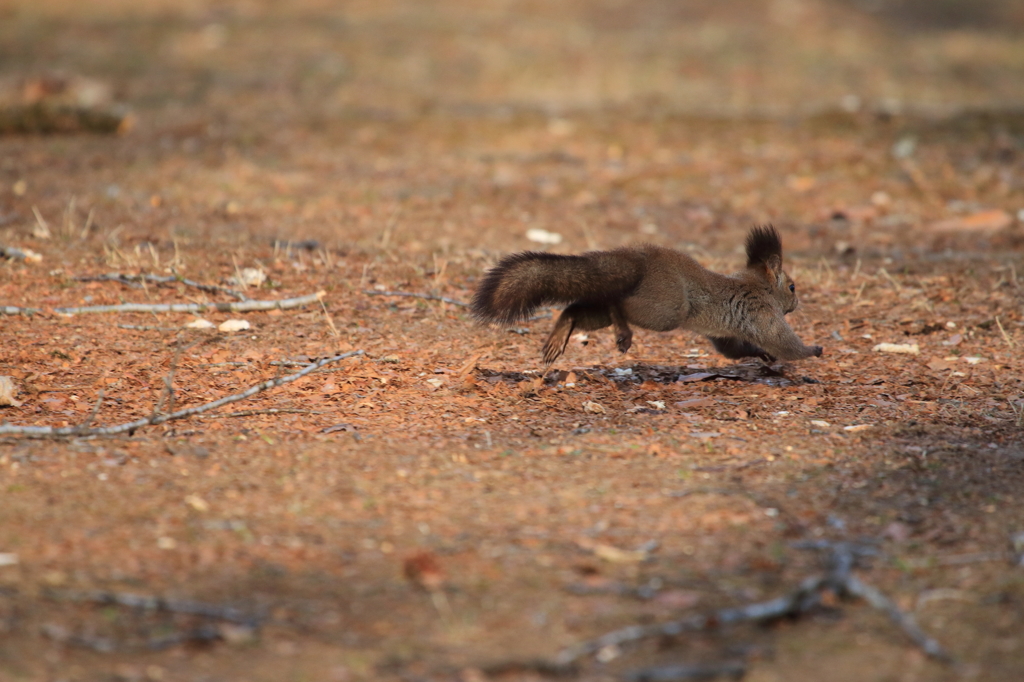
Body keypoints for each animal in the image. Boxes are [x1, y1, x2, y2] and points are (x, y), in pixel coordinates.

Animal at [471, 224, 823, 364]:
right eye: (792, 286)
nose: (797, 302)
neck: (759, 285)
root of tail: (639, 258)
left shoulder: (726, 335)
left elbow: (734, 349)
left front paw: (762, 356)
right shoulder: (762, 313)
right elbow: (782, 341)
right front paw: (813, 350)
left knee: (579, 309)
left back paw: (559, 336)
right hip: (666, 309)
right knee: (618, 304)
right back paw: (623, 333)